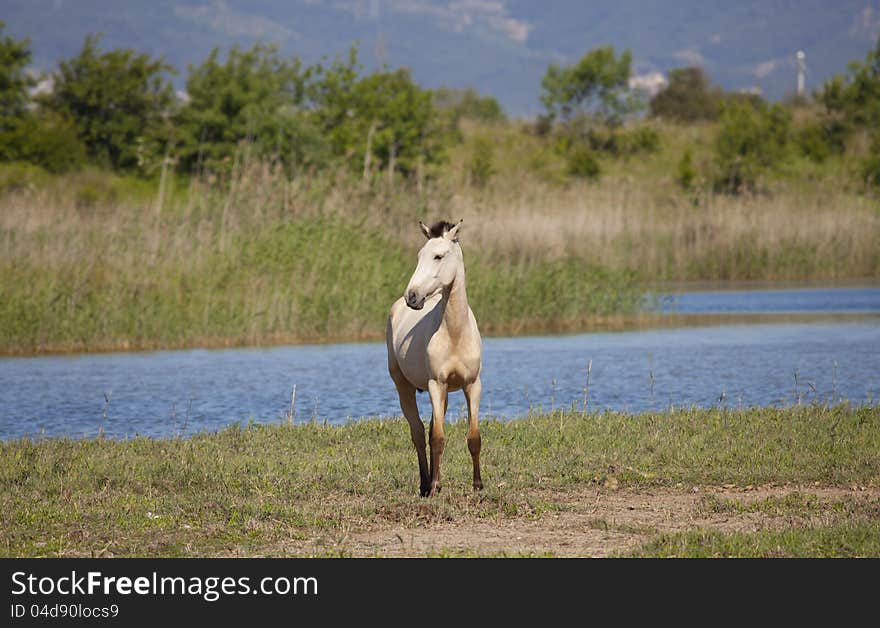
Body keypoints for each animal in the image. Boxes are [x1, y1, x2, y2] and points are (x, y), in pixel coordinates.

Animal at [384, 218, 482, 498]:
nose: (412, 296)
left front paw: (478, 485)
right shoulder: (435, 384)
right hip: (404, 386)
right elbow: (437, 438)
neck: (455, 334)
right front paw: (436, 485)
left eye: (438, 256)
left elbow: (473, 437)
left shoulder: (472, 384)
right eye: (419, 256)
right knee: (418, 433)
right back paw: (426, 484)